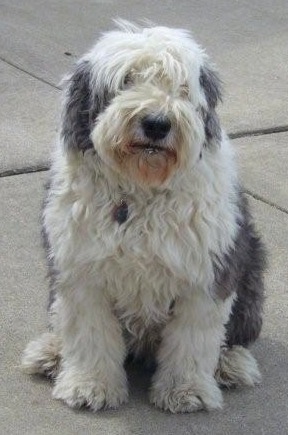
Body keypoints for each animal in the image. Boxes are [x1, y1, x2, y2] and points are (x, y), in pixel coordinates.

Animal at [22, 21, 266, 416]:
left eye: (181, 87)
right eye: (125, 81)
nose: (156, 123)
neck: (139, 192)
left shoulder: (205, 276)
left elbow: (192, 340)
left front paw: (186, 391)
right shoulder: (81, 273)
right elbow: (90, 335)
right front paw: (90, 385)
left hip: (250, 275)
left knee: (233, 335)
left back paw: (231, 364)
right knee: (60, 321)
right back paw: (50, 352)